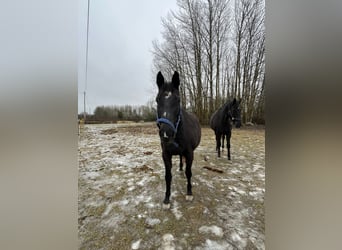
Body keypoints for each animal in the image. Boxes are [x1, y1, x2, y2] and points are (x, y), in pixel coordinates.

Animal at [156, 71, 202, 209]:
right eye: (157, 99)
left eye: (177, 99)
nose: (166, 133)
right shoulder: (166, 154)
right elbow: (168, 176)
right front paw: (166, 199)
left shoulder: (189, 153)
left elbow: (189, 172)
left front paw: (189, 193)